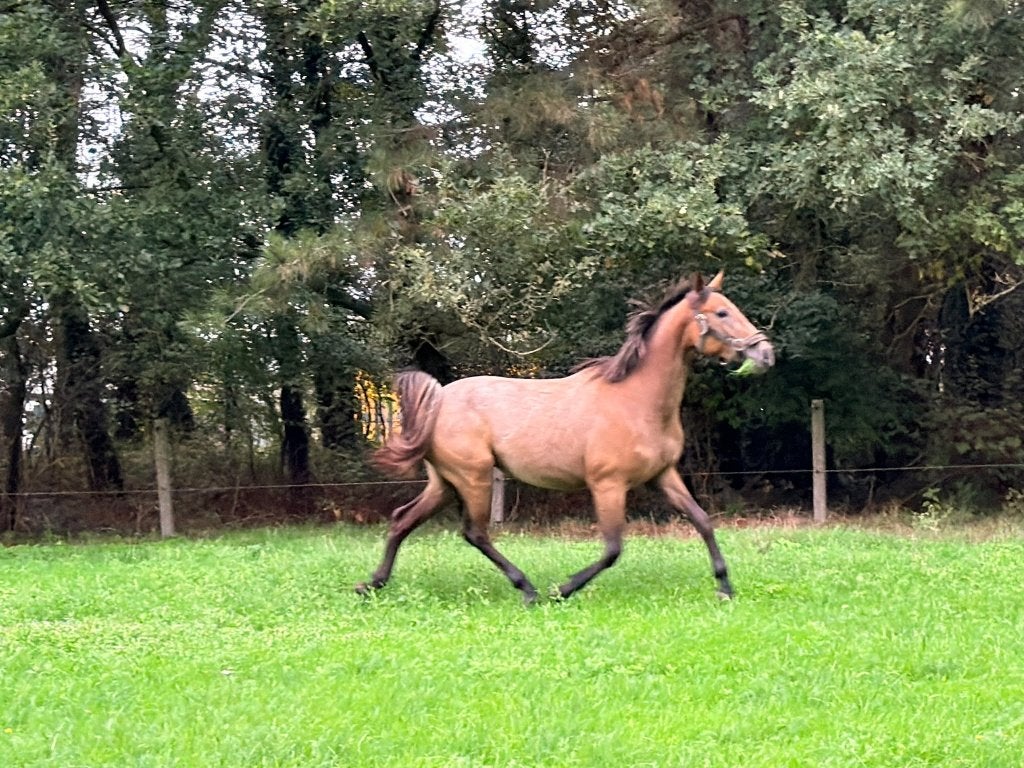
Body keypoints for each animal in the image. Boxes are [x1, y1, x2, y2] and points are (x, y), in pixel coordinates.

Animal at [357, 271, 775, 603]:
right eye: (722, 313)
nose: (765, 353)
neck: (637, 400)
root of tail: (439, 399)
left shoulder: (663, 476)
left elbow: (703, 521)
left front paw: (724, 588)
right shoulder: (608, 485)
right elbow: (612, 548)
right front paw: (564, 589)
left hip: (445, 482)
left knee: (402, 520)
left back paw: (372, 584)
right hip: (473, 478)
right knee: (475, 533)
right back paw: (527, 589)